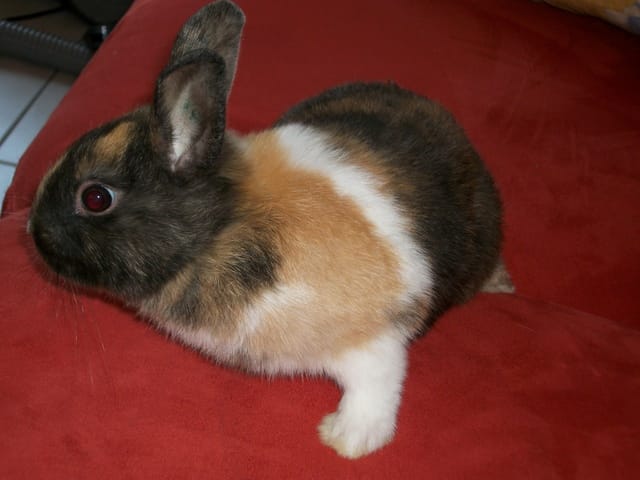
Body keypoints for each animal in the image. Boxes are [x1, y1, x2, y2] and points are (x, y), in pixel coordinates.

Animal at [27, 0, 513, 459]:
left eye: (95, 198)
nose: (33, 230)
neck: (222, 228)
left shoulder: (378, 338)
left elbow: (377, 387)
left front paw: (347, 441)